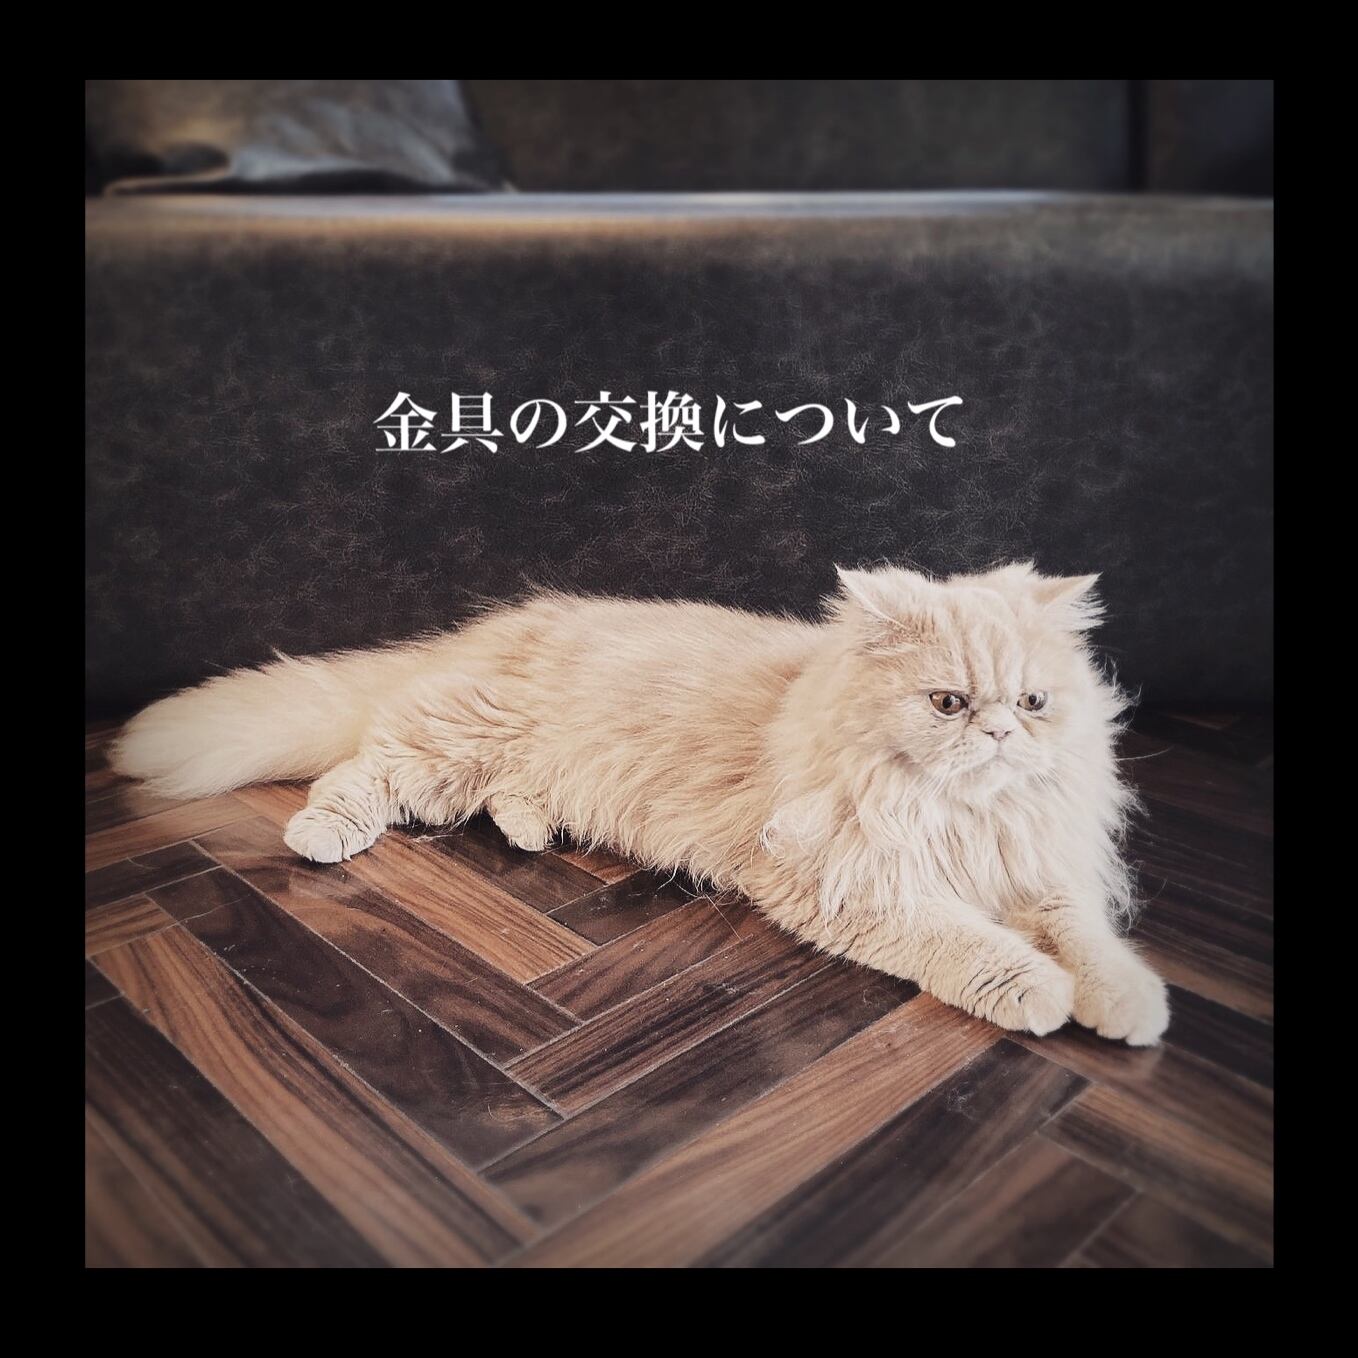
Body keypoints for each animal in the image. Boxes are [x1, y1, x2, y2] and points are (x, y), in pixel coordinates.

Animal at [110, 562, 1170, 1045]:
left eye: (1033, 703)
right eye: (949, 703)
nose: (1000, 736)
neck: (962, 817)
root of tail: (484, 633)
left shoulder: (1043, 871)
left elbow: (1088, 940)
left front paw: (1125, 1003)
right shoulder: (850, 884)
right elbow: (976, 946)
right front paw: (1041, 994)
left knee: (495, 795)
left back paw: (533, 831)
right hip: (451, 742)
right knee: (360, 772)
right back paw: (321, 835)